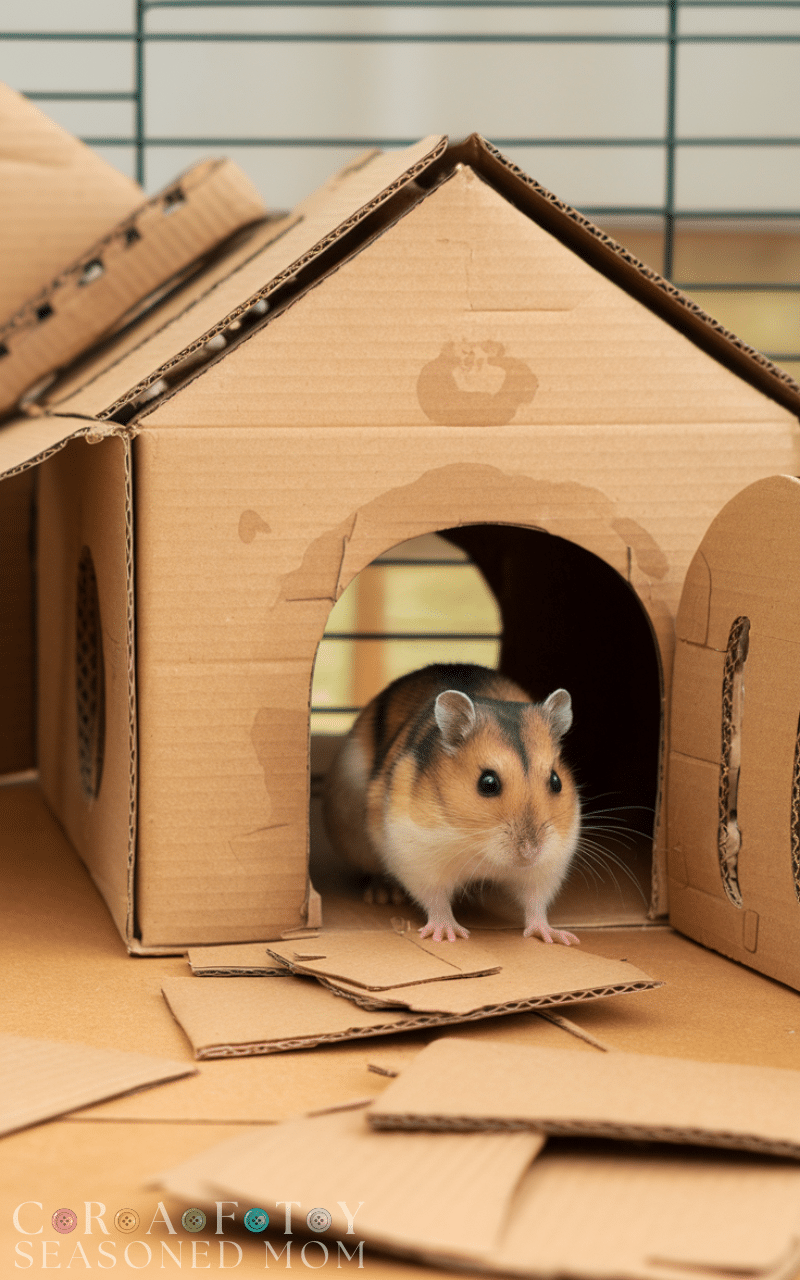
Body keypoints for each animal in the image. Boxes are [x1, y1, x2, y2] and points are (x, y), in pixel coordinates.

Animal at [322, 663, 581, 944]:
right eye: (488, 783)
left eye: (556, 781)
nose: (530, 852)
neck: (480, 849)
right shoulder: (417, 855)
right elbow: (436, 900)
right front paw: (446, 935)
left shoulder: (549, 865)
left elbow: (536, 903)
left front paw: (558, 937)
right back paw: (384, 895)